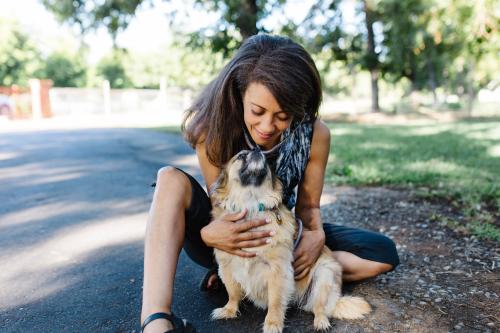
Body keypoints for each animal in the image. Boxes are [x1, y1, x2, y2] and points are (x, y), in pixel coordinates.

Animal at [209, 149, 370, 330]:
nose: (257, 150)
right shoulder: (227, 267)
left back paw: (321, 322)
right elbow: (232, 293)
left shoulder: (278, 271)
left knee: (319, 308)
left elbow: (275, 302)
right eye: (241, 156)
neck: (252, 206)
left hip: (324, 275)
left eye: (267, 161)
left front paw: (273, 323)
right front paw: (229, 310)